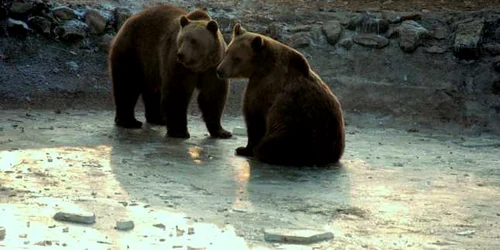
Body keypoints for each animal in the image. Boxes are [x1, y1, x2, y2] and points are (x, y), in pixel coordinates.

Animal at [108, 3, 231, 139]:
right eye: (181, 39)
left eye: (194, 41)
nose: (181, 54)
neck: (199, 65)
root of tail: (129, 20)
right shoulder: (178, 66)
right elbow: (177, 92)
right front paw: (179, 132)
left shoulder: (213, 68)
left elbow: (212, 95)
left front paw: (222, 132)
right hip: (134, 51)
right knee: (127, 84)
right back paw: (129, 121)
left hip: (151, 64)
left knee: (152, 90)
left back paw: (158, 118)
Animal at [215, 23, 344, 166]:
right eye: (227, 52)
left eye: (237, 58)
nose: (219, 70)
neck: (261, 67)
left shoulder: (264, 87)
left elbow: (254, 117)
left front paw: (243, 149)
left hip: (296, 129)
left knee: (274, 145)